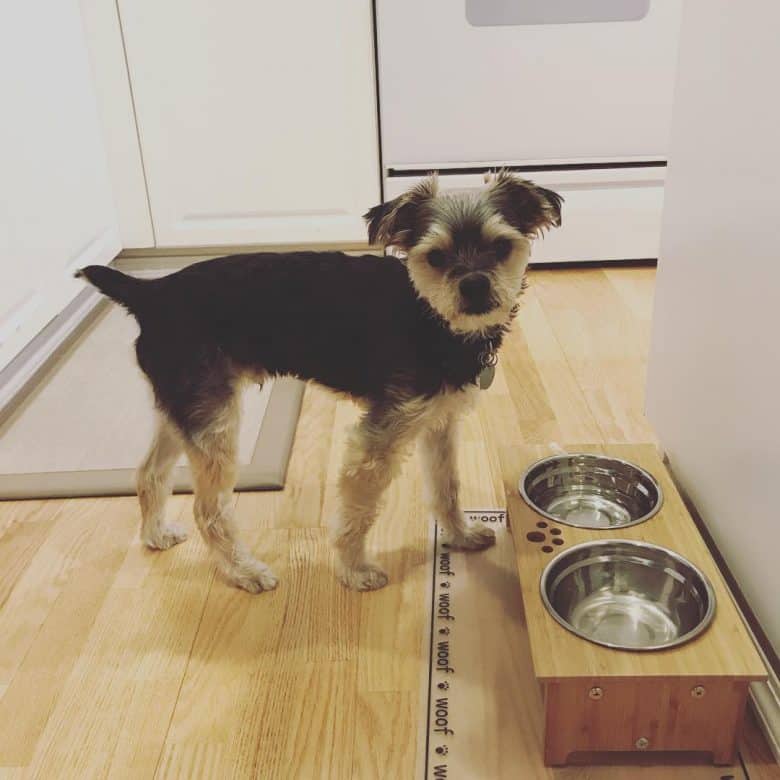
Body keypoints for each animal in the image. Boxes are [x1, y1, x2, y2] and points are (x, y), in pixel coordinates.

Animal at [77, 174, 560, 596]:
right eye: (436, 257)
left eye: (502, 247)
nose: (474, 284)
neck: (432, 318)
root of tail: (150, 294)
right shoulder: (377, 439)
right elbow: (357, 513)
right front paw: (355, 570)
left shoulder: (439, 421)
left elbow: (447, 487)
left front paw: (459, 535)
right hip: (213, 421)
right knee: (207, 510)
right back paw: (244, 571)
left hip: (184, 409)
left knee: (149, 473)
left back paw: (155, 534)